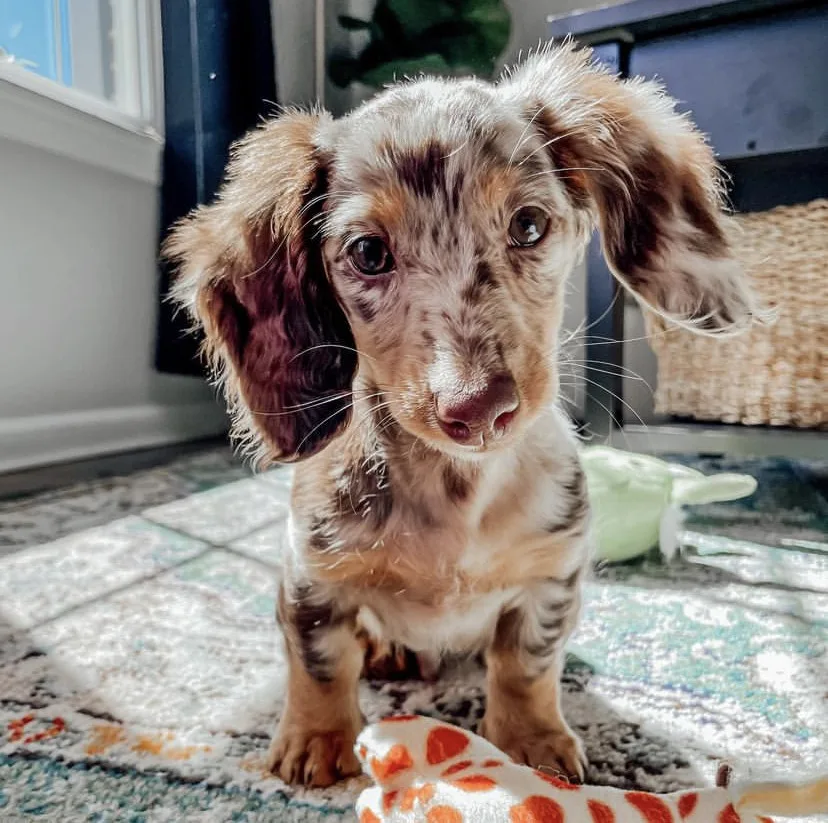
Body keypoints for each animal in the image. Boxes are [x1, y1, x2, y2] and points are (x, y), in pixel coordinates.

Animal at [163, 41, 764, 788]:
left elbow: (526, 663)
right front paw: (316, 738)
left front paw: (532, 741)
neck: (457, 489)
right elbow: (320, 661)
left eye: (529, 224)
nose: (479, 409)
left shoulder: (551, 575)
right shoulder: (311, 572)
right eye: (368, 252)